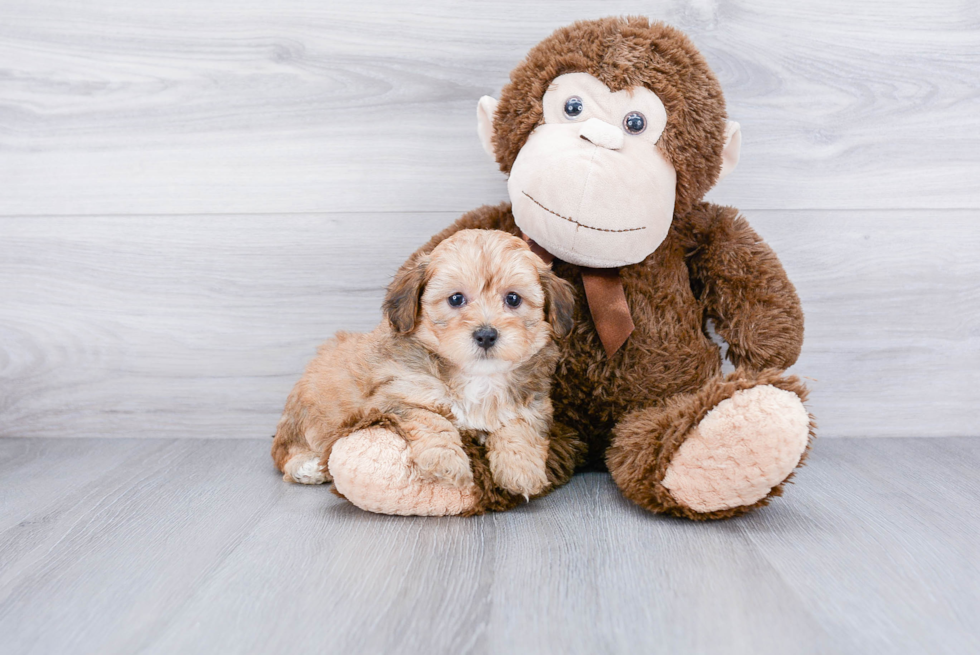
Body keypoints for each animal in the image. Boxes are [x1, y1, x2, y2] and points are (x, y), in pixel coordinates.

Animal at [270, 229, 576, 498]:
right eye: (456, 299)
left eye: (513, 299)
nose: (486, 335)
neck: (477, 377)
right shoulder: (395, 400)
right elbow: (432, 419)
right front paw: (446, 462)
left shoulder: (533, 404)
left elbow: (519, 428)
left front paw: (521, 470)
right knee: (284, 453)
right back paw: (308, 468)